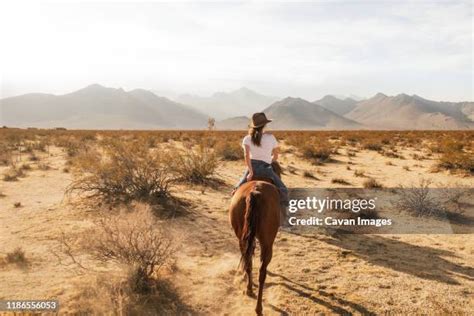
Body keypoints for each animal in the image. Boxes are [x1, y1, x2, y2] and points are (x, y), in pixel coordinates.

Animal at [229, 162, 284, 314]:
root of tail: (255, 192)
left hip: (242, 238)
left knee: (247, 260)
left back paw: (249, 289)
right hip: (267, 243)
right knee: (262, 272)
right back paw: (259, 308)